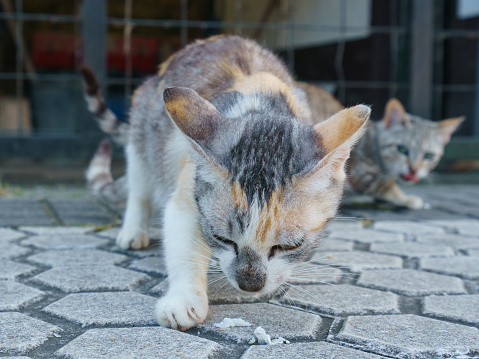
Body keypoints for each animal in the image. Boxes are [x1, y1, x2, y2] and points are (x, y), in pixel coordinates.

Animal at [80, 35, 372, 332]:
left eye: (291, 245)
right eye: (223, 238)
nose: (250, 284)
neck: (261, 106)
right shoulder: (189, 184)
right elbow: (183, 236)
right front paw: (183, 299)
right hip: (143, 132)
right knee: (140, 185)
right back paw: (133, 231)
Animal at [298, 82, 466, 210]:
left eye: (428, 156)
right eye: (402, 149)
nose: (414, 170)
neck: (372, 143)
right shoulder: (359, 171)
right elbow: (384, 185)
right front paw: (405, 198)